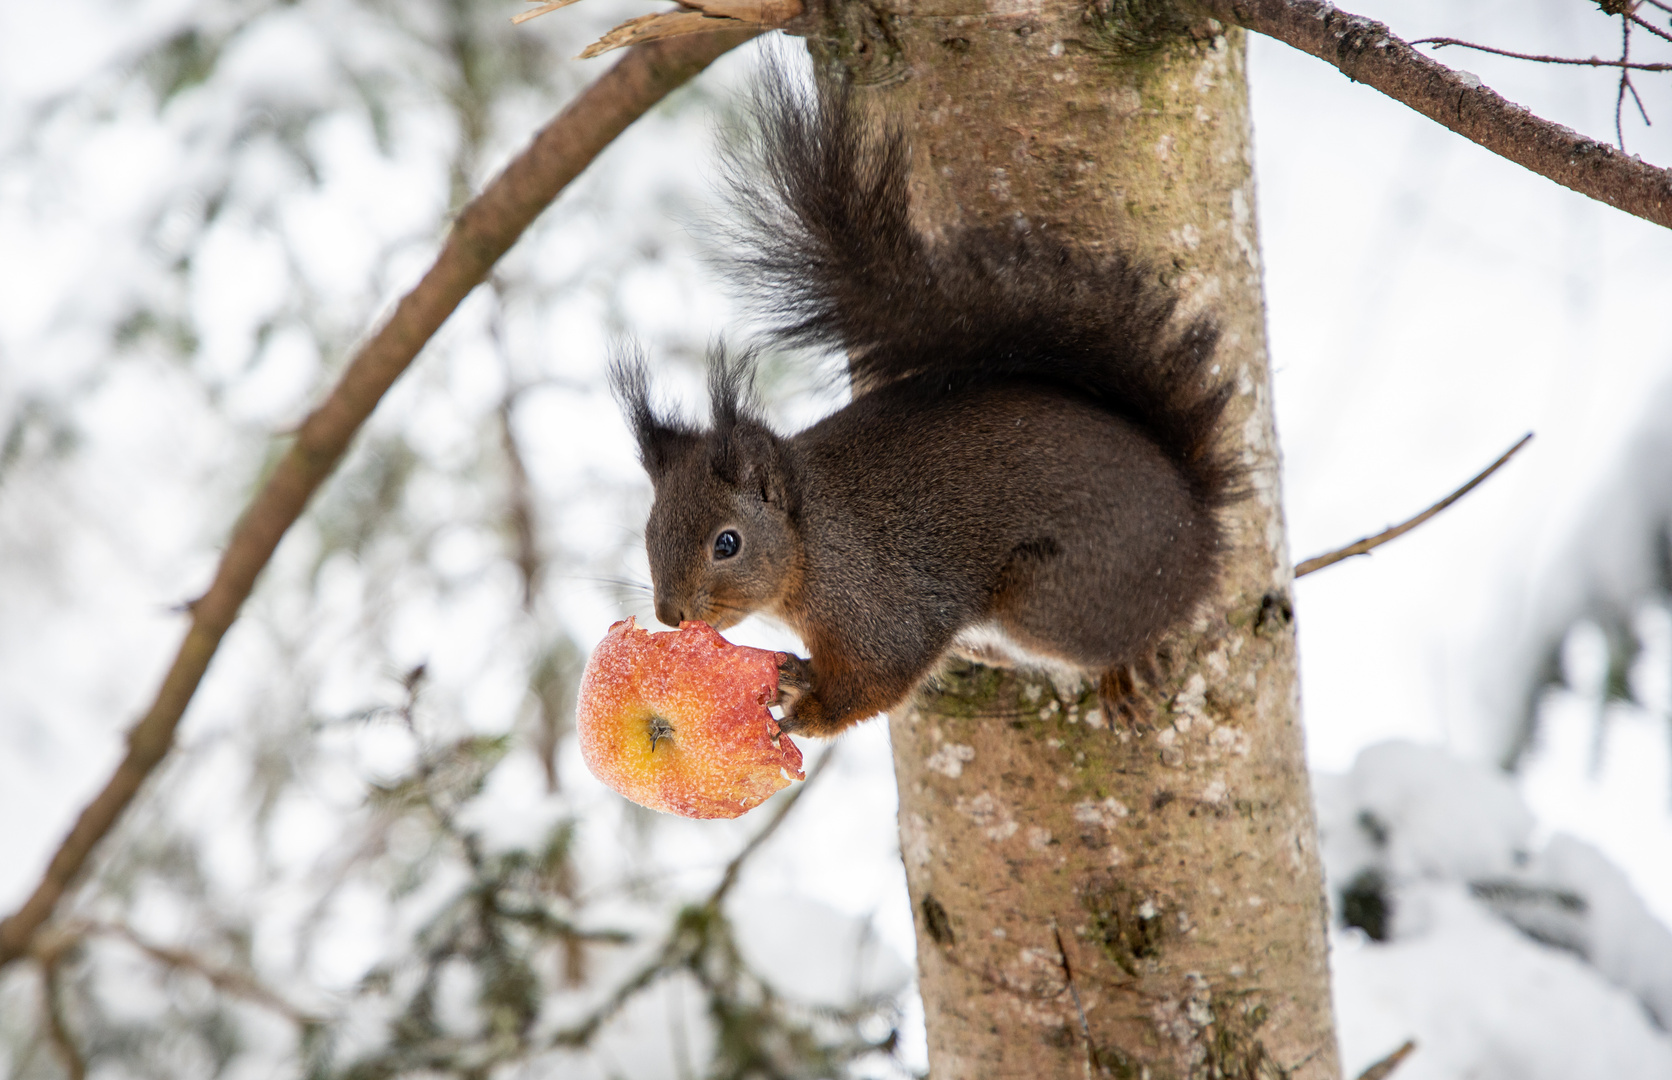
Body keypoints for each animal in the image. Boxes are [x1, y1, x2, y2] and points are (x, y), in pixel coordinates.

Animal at [608, 69, 1237, 745]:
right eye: (649, 530)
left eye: (727, 543)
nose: (670, 615)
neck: (810, 539)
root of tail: (1199, 531)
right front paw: (794, 676)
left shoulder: (876, 601)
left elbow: (882, 675)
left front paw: (804, 715)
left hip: (1056, 596)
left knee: (1133, 633)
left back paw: (1123, 671)